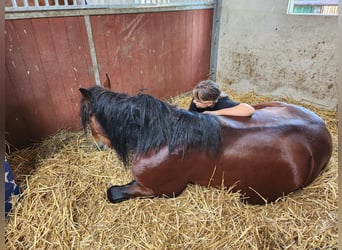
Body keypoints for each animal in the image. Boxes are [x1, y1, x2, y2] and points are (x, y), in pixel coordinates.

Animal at [79, 83, 332, 204]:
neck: (164, 137)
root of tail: (324, 133)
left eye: (89, 118)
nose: (97, 146)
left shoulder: (160, 190)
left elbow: (112, 193)